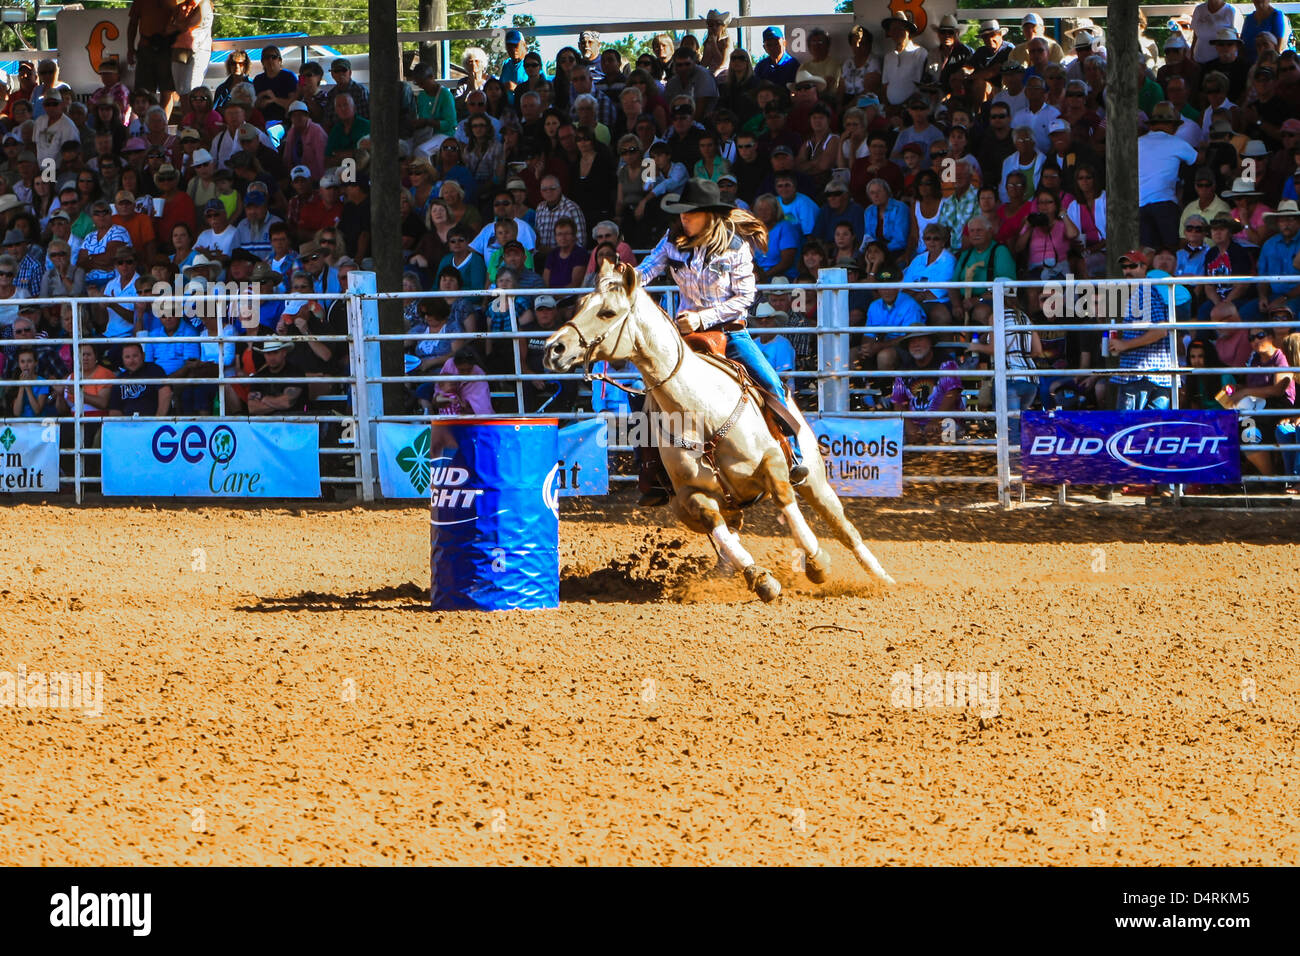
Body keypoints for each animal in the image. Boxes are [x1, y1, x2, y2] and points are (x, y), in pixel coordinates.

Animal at [540, 260, 894, 606]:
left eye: (607, 312)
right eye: (581, 305)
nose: (554, 348)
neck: (701, 409)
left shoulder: (772, 463)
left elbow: (785, 500)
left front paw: (817, 561)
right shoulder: (689, 496)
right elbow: (714, 523)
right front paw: (759, 577)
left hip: (815, 480)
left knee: (843, 527)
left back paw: (882, 578)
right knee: (730, 528)